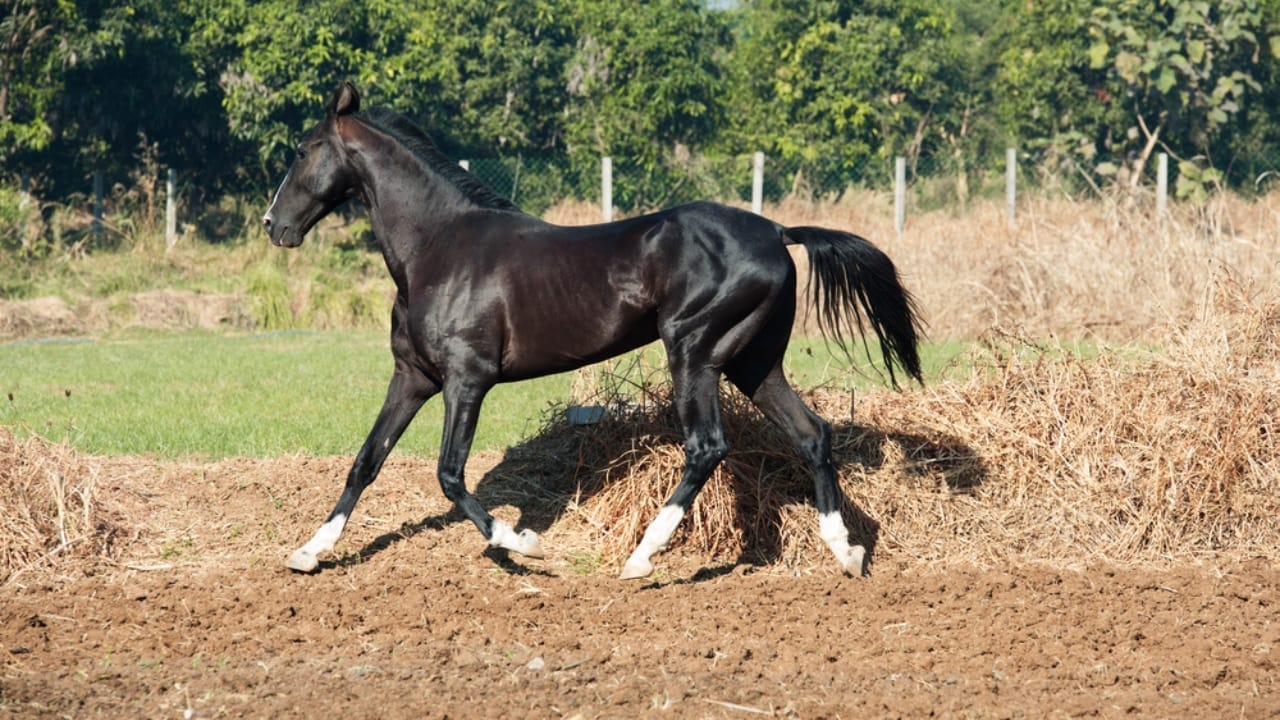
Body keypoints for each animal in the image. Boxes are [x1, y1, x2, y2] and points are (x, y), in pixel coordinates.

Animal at [263, 82, 923, 579]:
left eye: (302, 150)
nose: (274, 225)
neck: (438, 247)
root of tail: (777, 232)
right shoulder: (413, 378)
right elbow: (365, 462)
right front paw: (308, 552)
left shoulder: (466, 379)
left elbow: (450, 474)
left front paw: (523, 543)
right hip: (752, 363)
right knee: (811, 435)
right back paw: (846, 551)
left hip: (695, 354)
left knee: (707, 447)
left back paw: (640, 557)